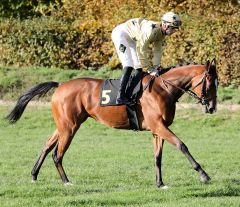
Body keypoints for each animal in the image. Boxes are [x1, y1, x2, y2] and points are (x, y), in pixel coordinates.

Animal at [7, 58, 218, 188]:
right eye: (209, 82)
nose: (212, 107)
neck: (163, 88)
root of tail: (60, 85)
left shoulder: (157, 129)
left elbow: (157, 156)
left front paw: (160, 183)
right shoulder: (160, 126)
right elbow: (182, 145)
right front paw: (204, 174)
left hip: (64, 125)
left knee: (47, 145)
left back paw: (34, 175)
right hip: (70, 127)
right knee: (57, 154)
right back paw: (66, 181)